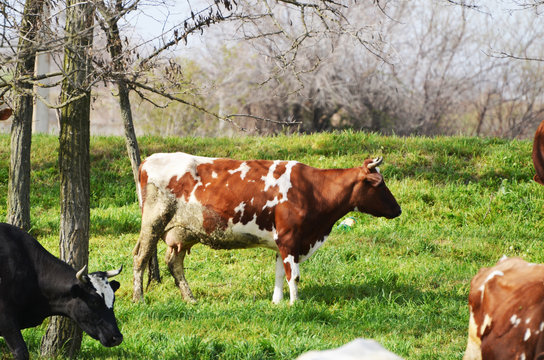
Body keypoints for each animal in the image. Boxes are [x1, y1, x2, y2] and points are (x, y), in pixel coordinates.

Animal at [134, 152, 402, 304]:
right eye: (379, 183)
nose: (398, 209)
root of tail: (147, 159)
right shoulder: (290, 238)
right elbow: (293, 275)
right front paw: (295, 304)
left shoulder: (284, 241)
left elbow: (279, 273)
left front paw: (277, 302)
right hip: (153, 222)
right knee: (140, 258)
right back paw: (139, 299)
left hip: (182, 233)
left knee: (174, 263)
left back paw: (190, 299)